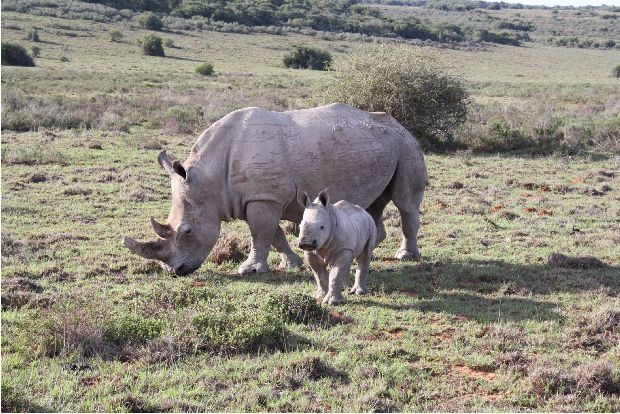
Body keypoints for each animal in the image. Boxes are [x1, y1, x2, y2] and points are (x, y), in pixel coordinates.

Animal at [124, 103, 428, 276]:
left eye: (187, 231)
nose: (175, 271)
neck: (209, 179)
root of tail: (401, 125)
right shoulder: (259, 198)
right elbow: (275, 235)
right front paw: (291, 264)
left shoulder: (263, 198)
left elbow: (260, 234)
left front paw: (250, 271)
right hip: (378, 145)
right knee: (375, 203)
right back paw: (367, 252)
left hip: (406, 145)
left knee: (405, 203)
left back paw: (405, 256)